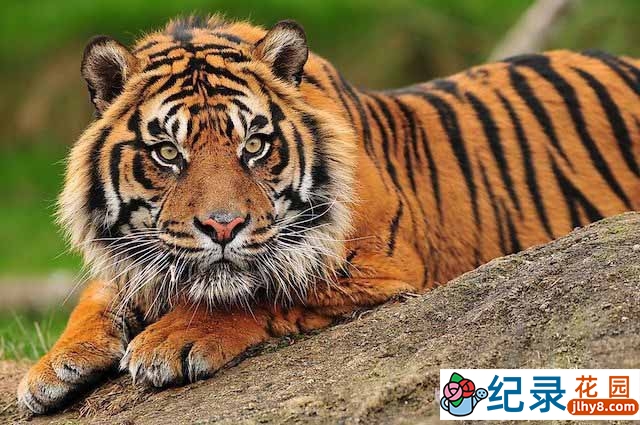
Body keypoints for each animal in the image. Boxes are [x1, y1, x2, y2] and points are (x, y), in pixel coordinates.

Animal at [18, 15, 640, 414]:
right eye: (168, 153)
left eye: (254, 145)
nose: (223, 227)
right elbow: (101, 293)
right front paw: (52, 368)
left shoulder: (377, 268)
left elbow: (261, 289)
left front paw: (172, 340)